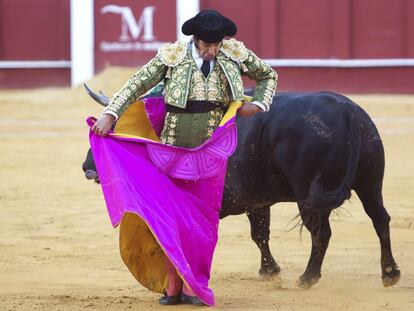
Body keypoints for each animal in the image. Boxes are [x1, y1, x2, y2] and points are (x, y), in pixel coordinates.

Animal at [82, 88, 400, 290]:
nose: (88, 168)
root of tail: (350, 114)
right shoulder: (257, 201)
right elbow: (260, 234)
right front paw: (270, 272)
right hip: (371, 184)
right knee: (380, 219)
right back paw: (389, 273)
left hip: (310, 195)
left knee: (322, 233)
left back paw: (308, 278)